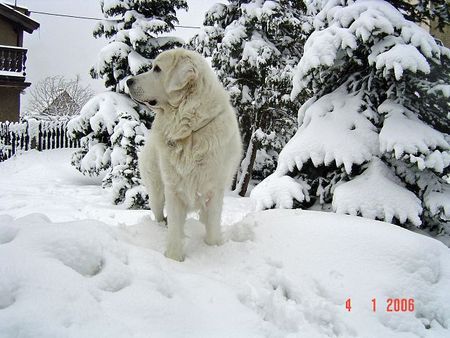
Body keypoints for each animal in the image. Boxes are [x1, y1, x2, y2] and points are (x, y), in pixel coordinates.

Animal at [126, 48, 243, 262]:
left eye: (157, 69)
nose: (129, 81)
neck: (190, 130)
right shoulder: (174, 189)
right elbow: (174, 229)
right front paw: (174, 259)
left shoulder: (214, 190)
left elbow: (212, 228)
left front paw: (213, 249)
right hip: (156, 191)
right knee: (159, 214)